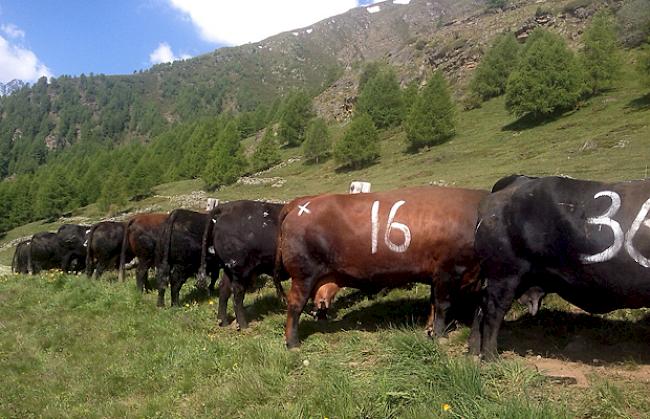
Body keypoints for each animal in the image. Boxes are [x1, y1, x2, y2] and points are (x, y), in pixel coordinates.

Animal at [195, 201, 286, 332]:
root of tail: (226, 207)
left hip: (228, 269)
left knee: (224, 289)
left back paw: (223, 322)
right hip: (240, 270)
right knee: (237, 294)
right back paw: (243, 325)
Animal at [274, 186, 486, 348]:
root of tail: (301, 203)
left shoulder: (436, 275)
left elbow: (433, 303)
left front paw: (430, 329)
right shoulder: (447, 271)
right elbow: (443, 305)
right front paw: (441, 335)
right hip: (303, 275)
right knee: (295, 306)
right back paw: (293, 344)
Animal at [470, 176, 648, 360]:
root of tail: (517, 180)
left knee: (481, 306)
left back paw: (474, 351)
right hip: (504, 275)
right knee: (493, 311)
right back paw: (491, 356)